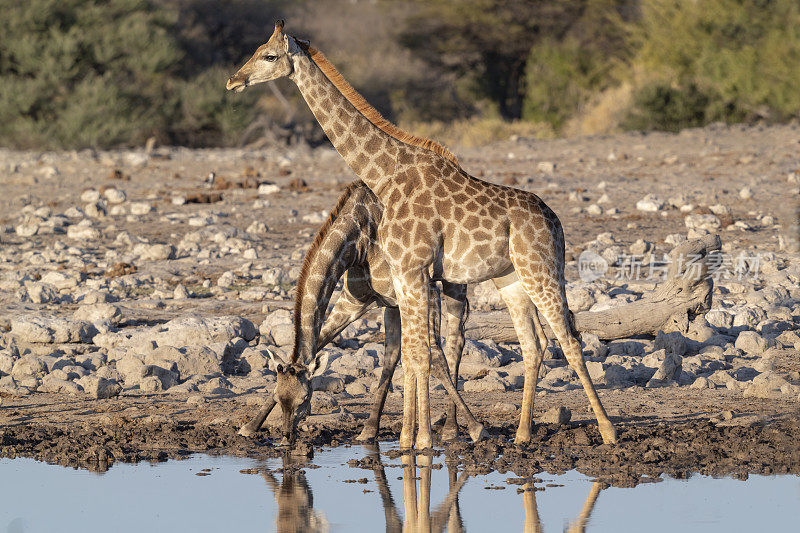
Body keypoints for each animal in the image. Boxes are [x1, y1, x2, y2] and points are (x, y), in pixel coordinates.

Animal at [228, 18, 616, 446]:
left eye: (269, 55)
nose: (234, 80)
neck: (384, 175)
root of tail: (556, 222)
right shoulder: (402, 280)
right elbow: (411, 354)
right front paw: (407, 439)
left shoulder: (414, 274)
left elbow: (421, 354)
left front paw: (423, 441)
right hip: (510, 279)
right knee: (533, 345)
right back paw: (521, 435)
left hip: (540, 271)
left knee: (569, 340)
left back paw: (607, 431)